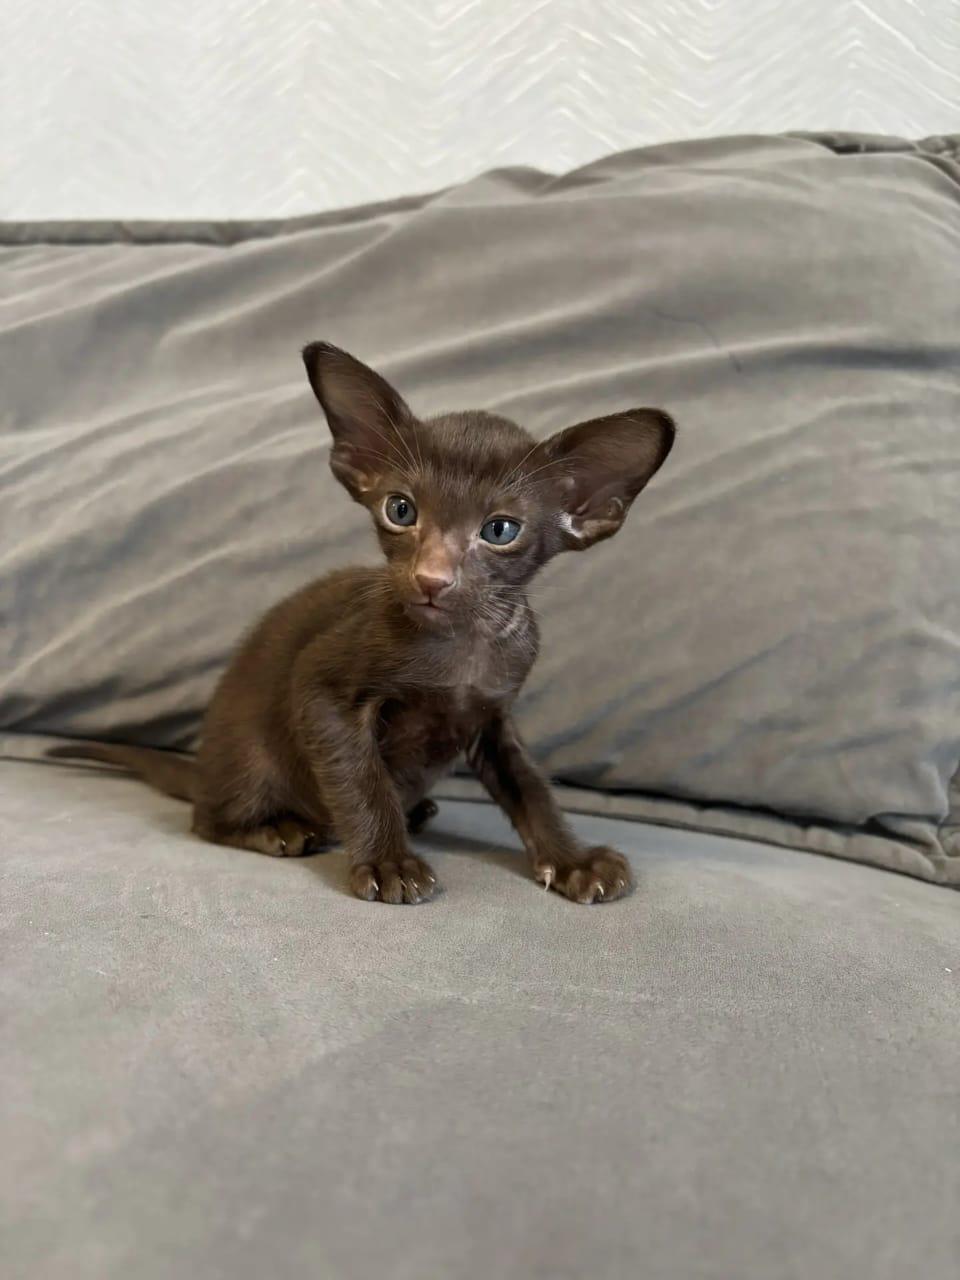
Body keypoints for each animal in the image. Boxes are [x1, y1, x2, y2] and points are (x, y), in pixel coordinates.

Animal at [51, 343, 675, 904]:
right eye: (401, 510)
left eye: (500, 530)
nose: (431, 578)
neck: (463, 648)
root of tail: (203, 769)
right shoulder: (323, 690)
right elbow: (362, 780)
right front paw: (388, 862)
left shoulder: (493, 717)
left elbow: (531, 790)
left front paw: (574, 861)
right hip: (252, 754)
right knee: (208, 818)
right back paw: (280, 828)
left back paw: (417, 809)